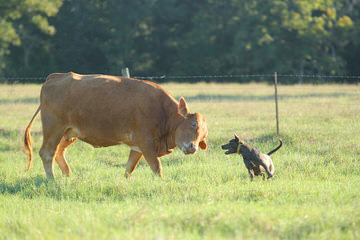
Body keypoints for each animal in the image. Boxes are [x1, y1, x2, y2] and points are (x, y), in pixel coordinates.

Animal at [23, 72, 208, 179]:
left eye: (203, 137)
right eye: (193, 124)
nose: (193, 148)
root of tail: (55, 77)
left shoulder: (137, 147)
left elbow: (129, 168)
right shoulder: (146, 142)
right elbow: (157, 167)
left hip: (69, 133)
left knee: (58, 152)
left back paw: (68, 175)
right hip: (54, 129)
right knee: (47, 153)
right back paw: (52, 180)